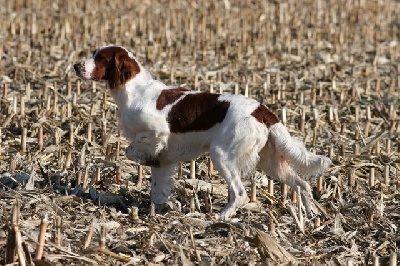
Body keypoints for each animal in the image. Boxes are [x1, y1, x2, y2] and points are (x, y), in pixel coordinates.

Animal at [75, 45, 332, 219]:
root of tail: (263, 111)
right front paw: (158, 207)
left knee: (240, 192)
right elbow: (158, 184)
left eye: (100, 58)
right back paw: (311, 214)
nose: (76, 65)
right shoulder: (165, 162)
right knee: (302, 184)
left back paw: (221, 216)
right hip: (271, 162)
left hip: (222, 154)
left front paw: (142, 157)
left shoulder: (158, 130)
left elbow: (134, 148)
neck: (134, 90)